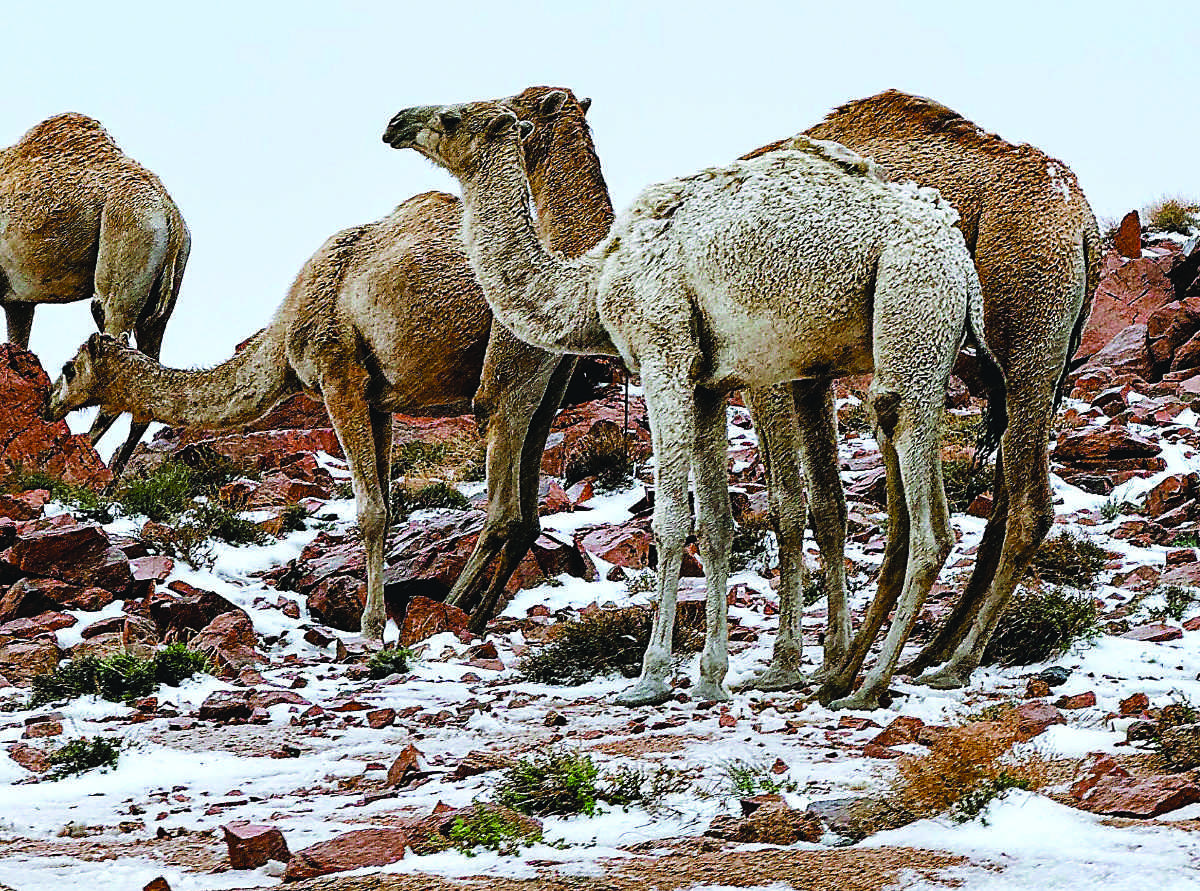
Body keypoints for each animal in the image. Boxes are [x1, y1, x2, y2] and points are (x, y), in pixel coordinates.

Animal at [44, 88, 609, 643]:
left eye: (69, 366)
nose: (50, 402)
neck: (280, 342)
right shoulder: (381, 399)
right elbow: (388, 498)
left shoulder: (339, 378)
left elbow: (372, 511)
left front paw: (372, 626)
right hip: (549, 387)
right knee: (528, 513)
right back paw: (476, 613)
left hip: (509, 368)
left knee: (502, 505)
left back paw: (453, 607)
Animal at [384, 99, 1003, 710]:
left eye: (455, 118)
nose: (396, 122)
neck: (595, 279)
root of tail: (962, 263)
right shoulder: (707, 383)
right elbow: (716, 522)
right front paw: (710, 675)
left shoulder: (665, 358)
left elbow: (671, 521)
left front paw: (652, 676)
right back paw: (851, 675)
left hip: (911, 314)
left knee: (933, 528)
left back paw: (872, 684)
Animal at [744, 90, 1099, 696]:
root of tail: (1083, 227)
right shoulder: (812, 374)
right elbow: (828, 505)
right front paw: (829, 658)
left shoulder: (772, 369)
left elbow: (788, 505)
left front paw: (784, 664)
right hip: (1040, 360)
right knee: (1002, 495)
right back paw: (926, 653)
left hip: (1026, 326)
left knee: (1028, 503)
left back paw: (954, 665)